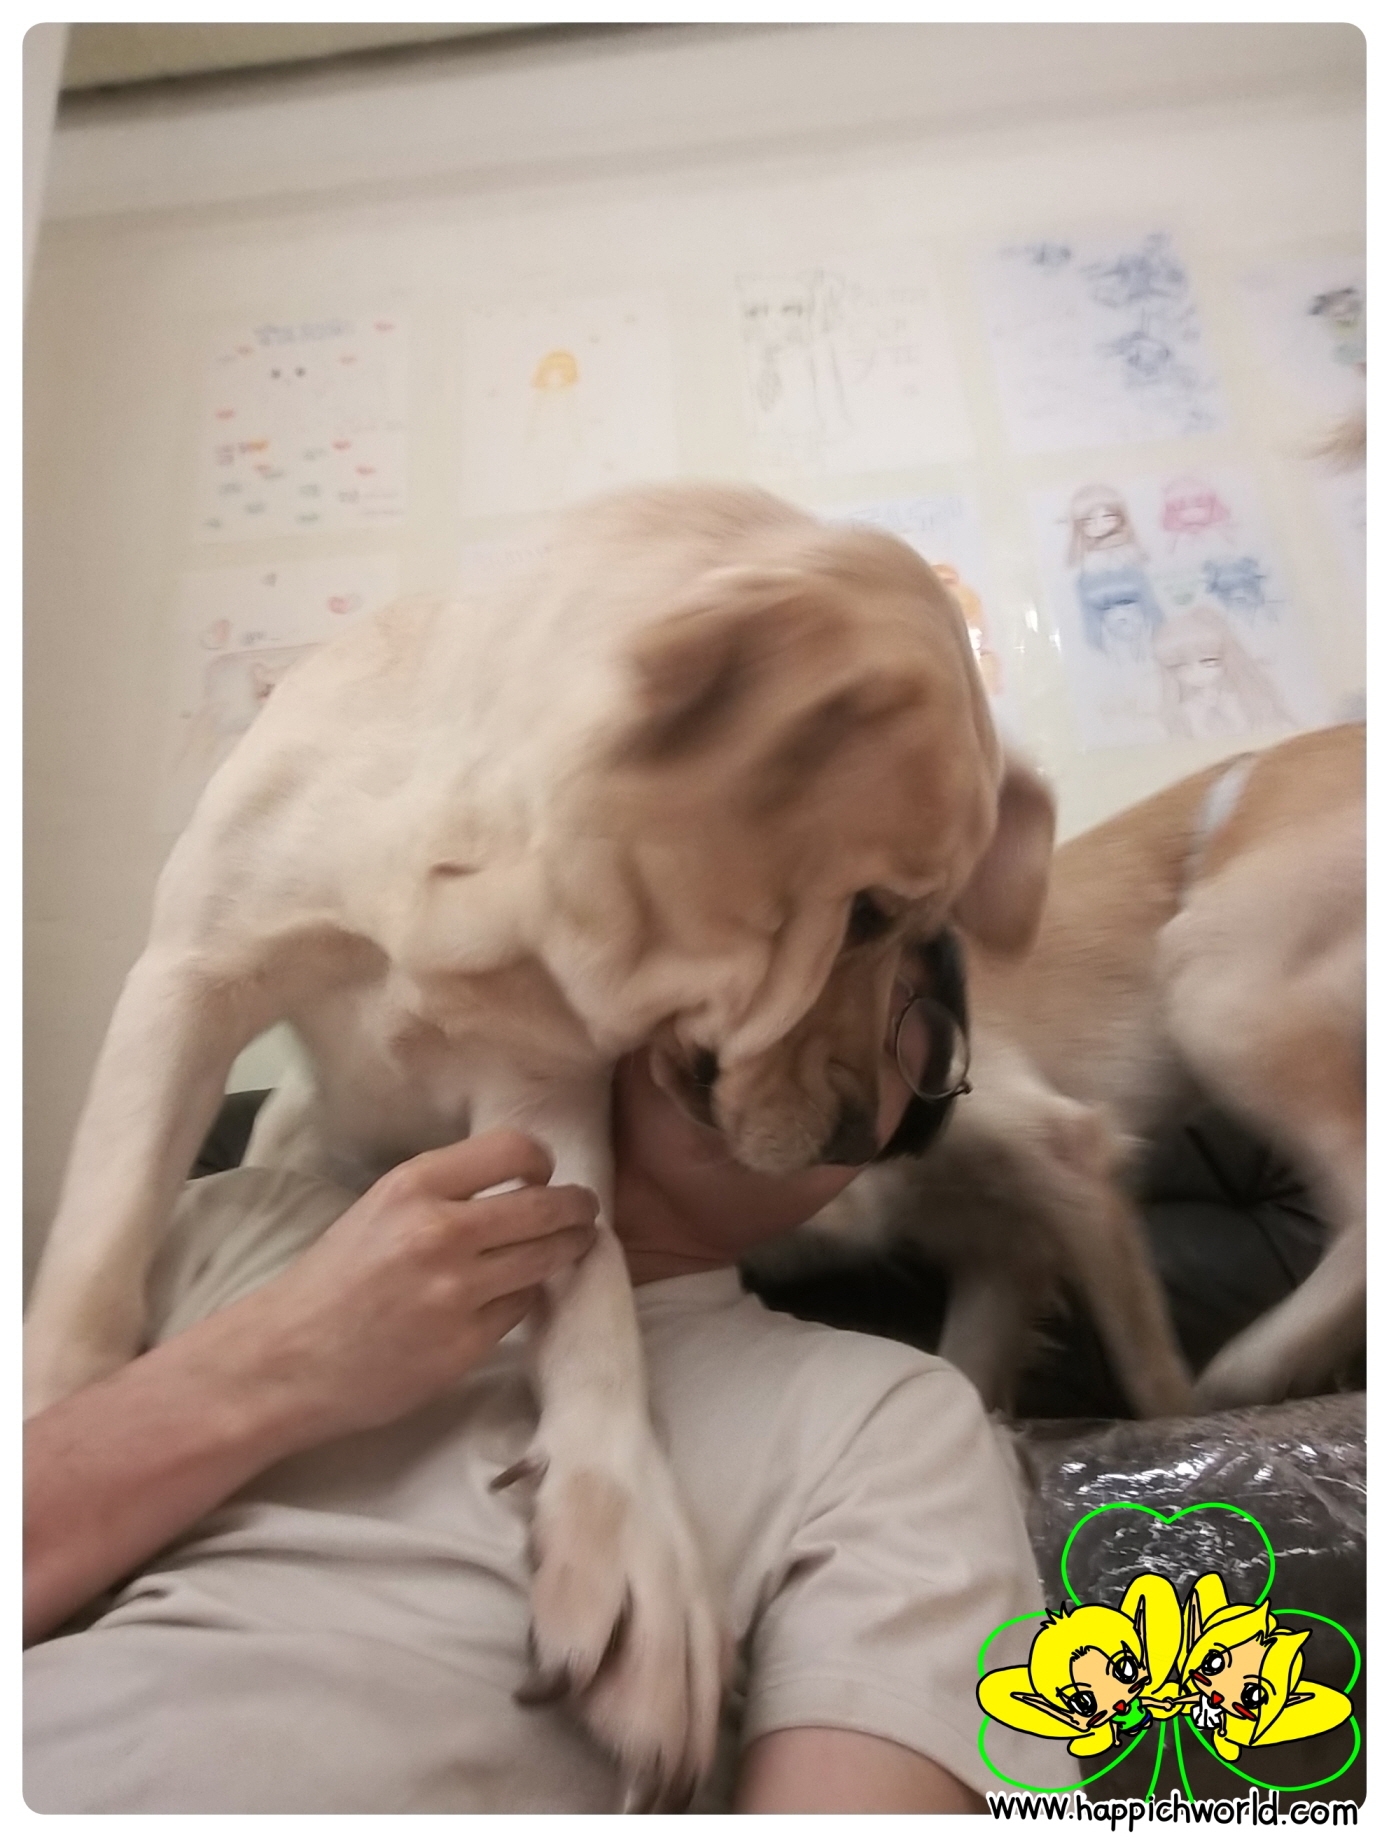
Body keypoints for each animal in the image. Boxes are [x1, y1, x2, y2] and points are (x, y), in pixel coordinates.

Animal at [24, 482, 1055, 1803]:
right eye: (870, 914)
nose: (852, 1136)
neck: (484, 880)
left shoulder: (540, 1089)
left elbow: (600, 1300)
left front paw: (625, 1542)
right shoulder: (189, 977)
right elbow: (99, 1251)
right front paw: (56, 1423)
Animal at [762, 724, 1365, 1421]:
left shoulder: (1064, 1156)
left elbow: (1150, 1379)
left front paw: (1183, 1424)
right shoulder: (1000, 1254)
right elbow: (967, 1375)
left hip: (1214, 986)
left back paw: (1254, 1366)